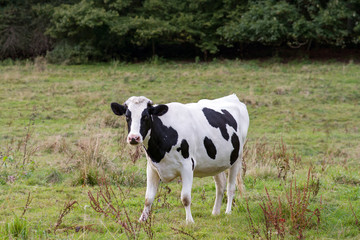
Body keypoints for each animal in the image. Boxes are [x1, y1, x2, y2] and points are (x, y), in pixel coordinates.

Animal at [111, 94, 249, 223]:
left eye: (145, 116)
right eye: (127, 117)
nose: (133, 138)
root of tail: (232, 97)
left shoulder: (187, 166)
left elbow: (185, 198)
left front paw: (189, 221)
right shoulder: (152, 168)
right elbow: (148, 198)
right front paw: (142, 220)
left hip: (237, 157)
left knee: (231, 188)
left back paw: (228, 212)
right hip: (215, 163)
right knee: (220, 185)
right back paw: (215, 212)